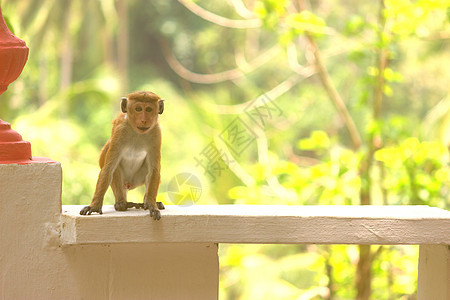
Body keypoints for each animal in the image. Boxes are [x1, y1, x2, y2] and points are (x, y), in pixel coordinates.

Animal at [80, 90, 165, 219]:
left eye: (149, 109)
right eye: (138, 109)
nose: (144, 120)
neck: (137, 132)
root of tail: (130, 184)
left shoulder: (156, 133)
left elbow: (154, 171)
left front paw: (151, 204)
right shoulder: (120, 131)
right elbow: (108, 169)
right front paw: (94, 206)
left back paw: (146, 203)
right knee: (115, 168)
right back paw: (121, 203)